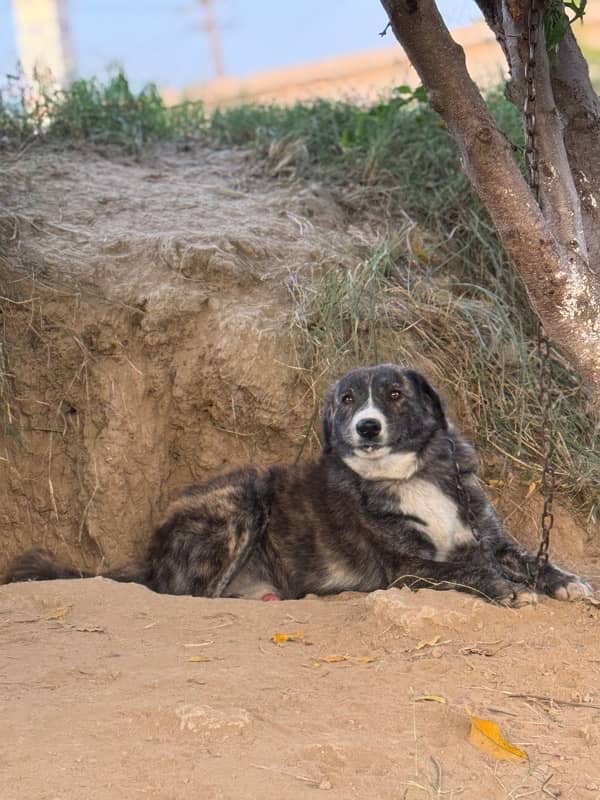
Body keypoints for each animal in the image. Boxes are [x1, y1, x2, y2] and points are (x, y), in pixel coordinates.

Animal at [5, 364, 596, 608]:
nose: (367, 427)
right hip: (241, 500)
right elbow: (470, 569)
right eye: (348, 400)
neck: (410, 475)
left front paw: (564, 581)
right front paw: (507, 588)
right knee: (184, 593)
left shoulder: (489, 534)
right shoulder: (406, 567)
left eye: (395, 394)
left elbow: (525, 556)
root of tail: (150, 553)